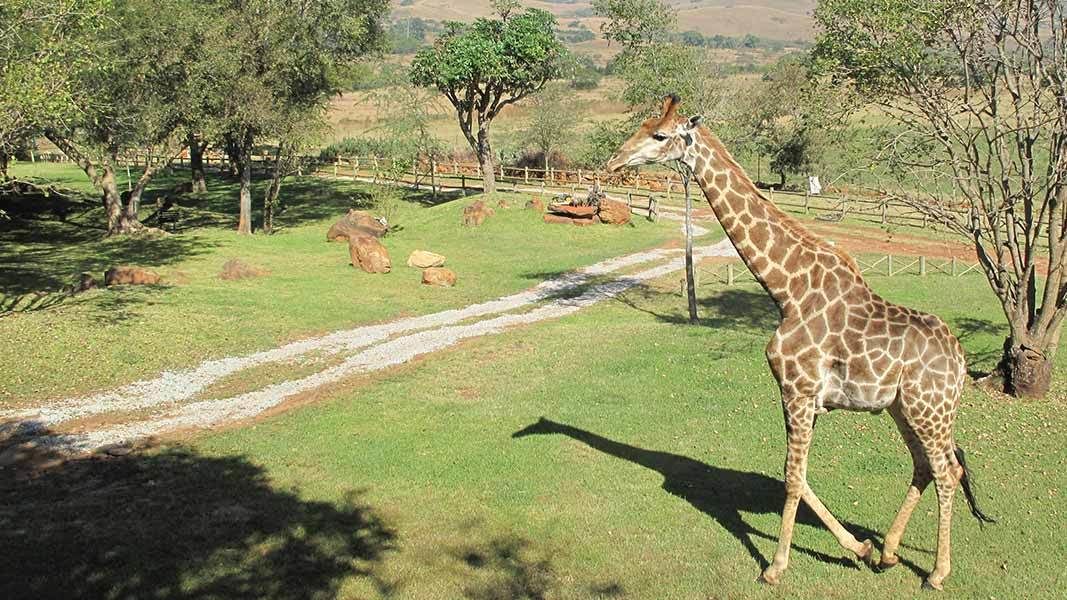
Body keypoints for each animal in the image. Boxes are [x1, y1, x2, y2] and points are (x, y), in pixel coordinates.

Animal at [604, 95, 994, 590]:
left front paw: (775, 567)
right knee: (927, 466)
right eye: (642, 125)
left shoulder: (797, 389)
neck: (786, 290)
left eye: (659, 135)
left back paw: (937, 574)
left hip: (930, 409)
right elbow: (800, 475)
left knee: (947, 471)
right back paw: (887, 552)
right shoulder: (804, 398)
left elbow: (792, 477)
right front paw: (859, 547)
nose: (614, 161)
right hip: (904, 407)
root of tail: (961, 360)